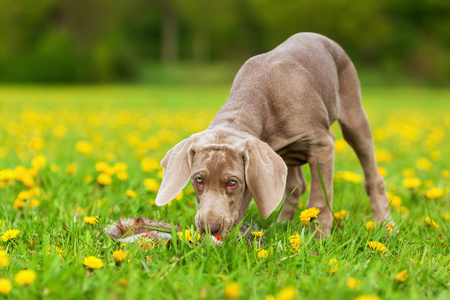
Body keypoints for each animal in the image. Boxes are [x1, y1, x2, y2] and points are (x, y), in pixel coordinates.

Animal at [154, 31, 390, 236]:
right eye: (198, 180)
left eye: (232, 182)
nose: (209, 228)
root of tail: (319, 36)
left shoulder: (323, 145)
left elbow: (319, 200)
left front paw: (319, 240)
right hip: (285, 156)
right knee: (296, 185)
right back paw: (280, 226)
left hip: (353, 112)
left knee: (372, 175)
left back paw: (386, 226)